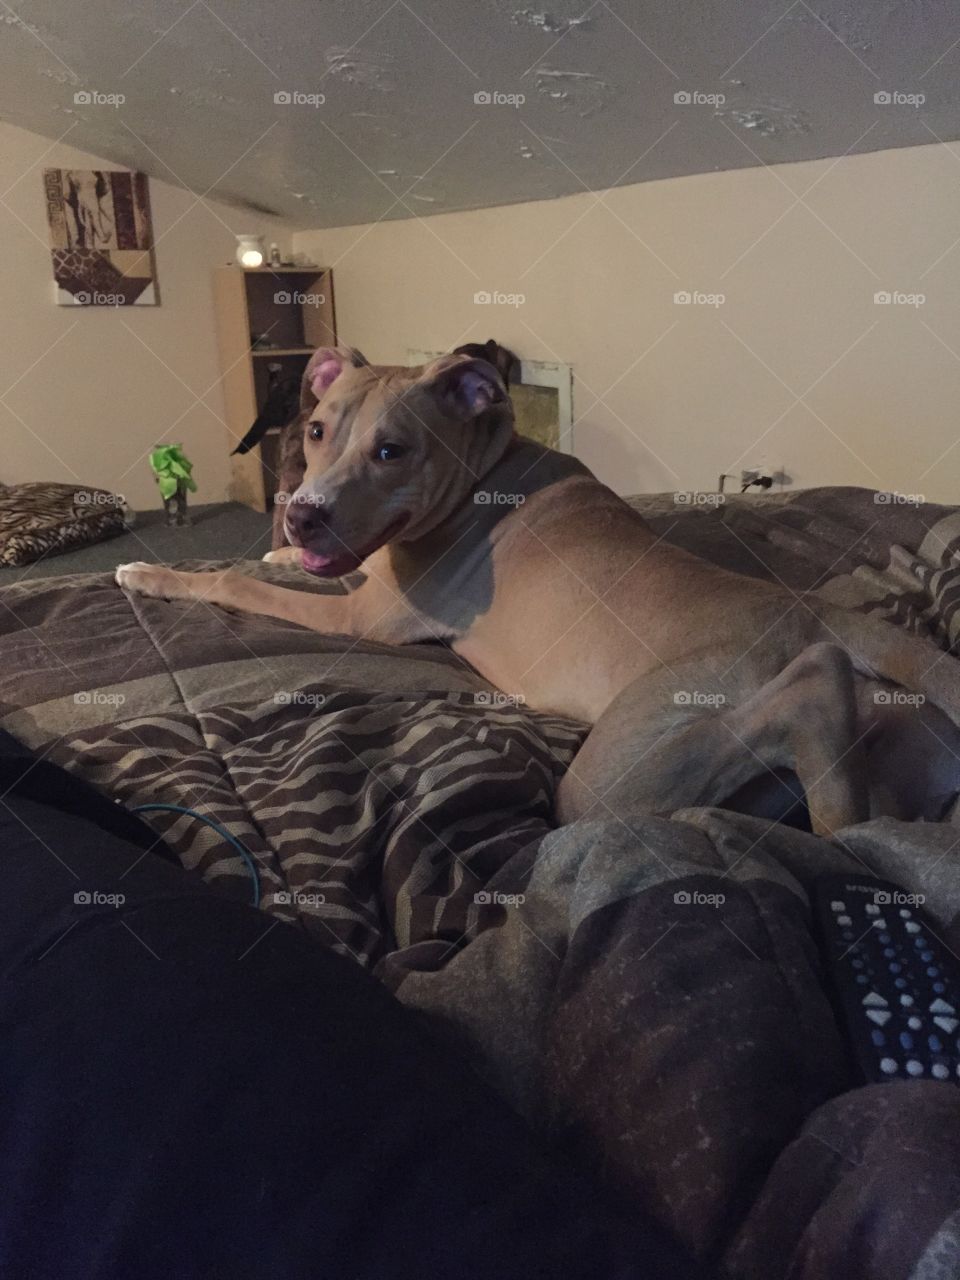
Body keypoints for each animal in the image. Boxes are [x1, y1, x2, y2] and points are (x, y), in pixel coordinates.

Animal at [118, 345, 960, 834]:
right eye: (317, 430)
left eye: (392, 450)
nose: (301, 514)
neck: (479, 469)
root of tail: (819, 614)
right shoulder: (359, 571)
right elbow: (285, 567)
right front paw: (277, 550)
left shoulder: (365, 615)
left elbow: (242, 583)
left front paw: (156, 573)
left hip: (621, 771)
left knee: (805, 706)